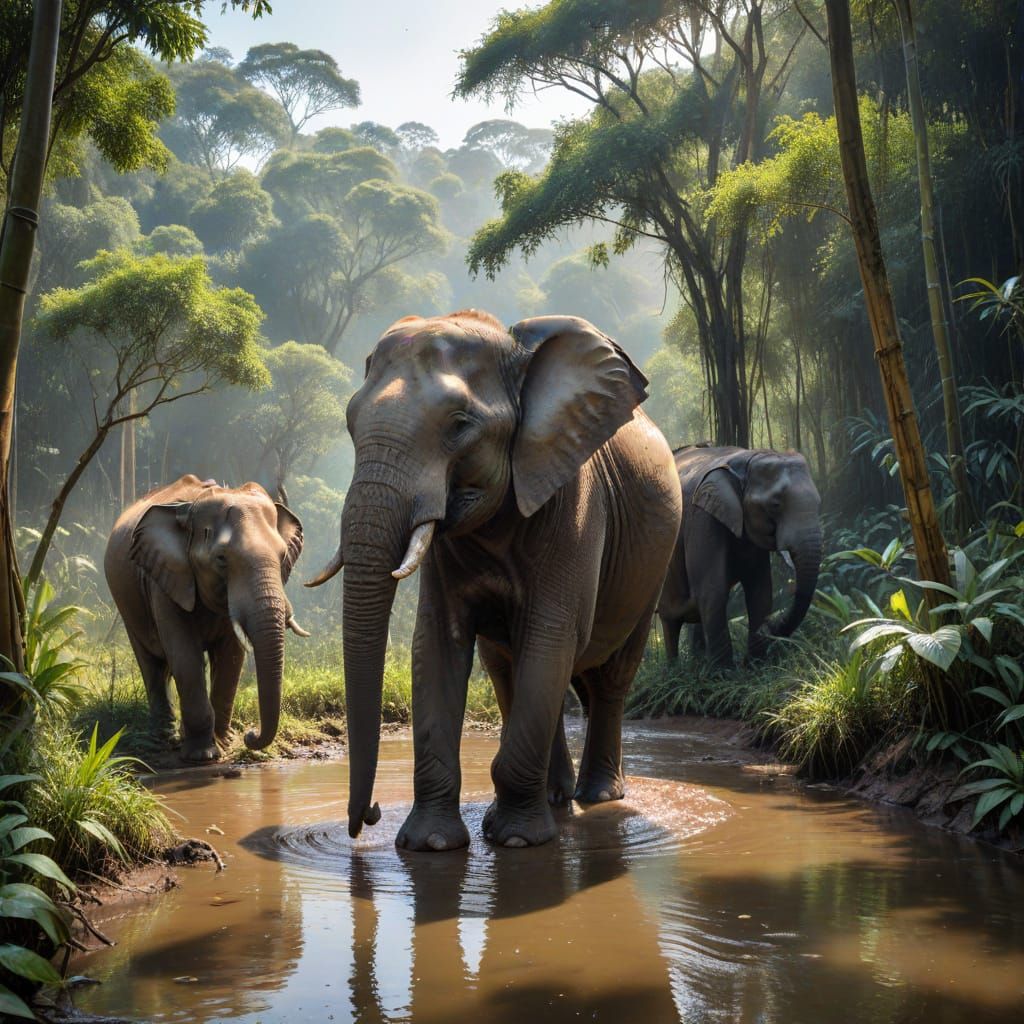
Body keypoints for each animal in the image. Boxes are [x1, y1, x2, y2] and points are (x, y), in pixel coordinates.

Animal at [104, 475, 306, 763]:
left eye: (282, 557)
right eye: (221, 559)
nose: (250, 735)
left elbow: (231, 656)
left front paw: (222, 744)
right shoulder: (165, 579)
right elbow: (185, 655)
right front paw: (203, 756)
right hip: (127, 602)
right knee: (151, 661)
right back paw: (164, 738)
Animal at [306, 309, 681, 850]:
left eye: (460, 425)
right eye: (351, 423)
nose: (369, 817)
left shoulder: (574, 505)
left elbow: (551, 636)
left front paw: (518, 842)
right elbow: (438, 643)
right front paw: (430, 844)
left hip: (656, 560)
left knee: (608, 674)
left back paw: (597, 797)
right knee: (511, 669)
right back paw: (556, 797)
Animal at [656, 444, 822, 670]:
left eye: (819, 503)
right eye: (775, 505)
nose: (769, 627)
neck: (746, 459)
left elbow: (760, 590)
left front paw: (755, 666)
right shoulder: (703, 518)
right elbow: (713, 590)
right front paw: (724, 674)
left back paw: (697, 661)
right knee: (670, 620)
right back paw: (675, 671)